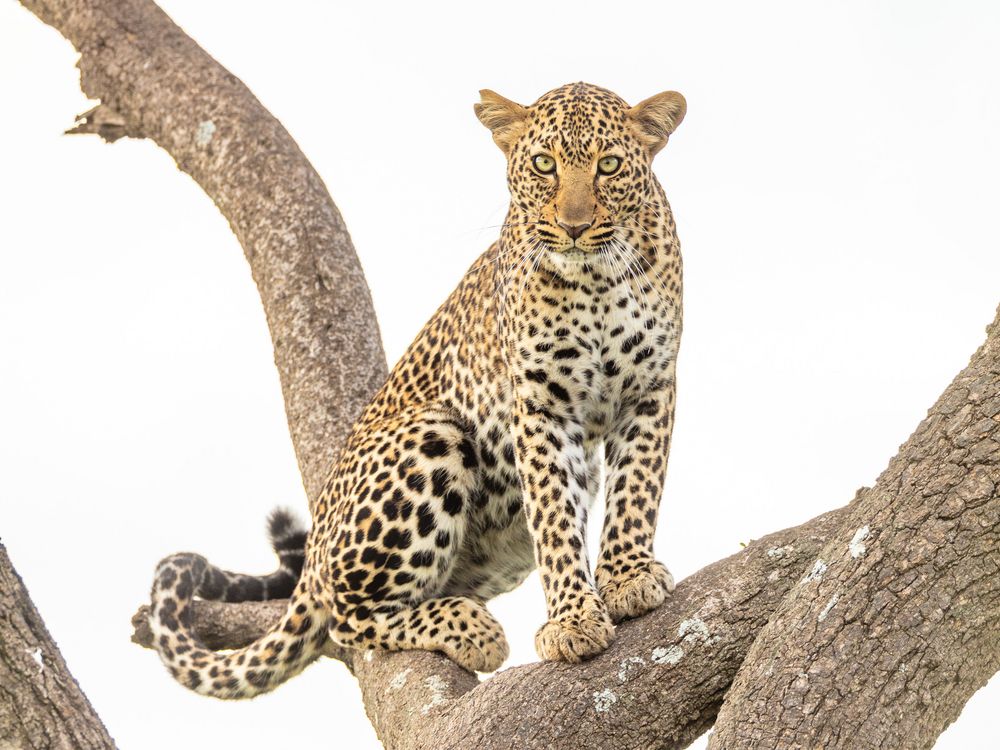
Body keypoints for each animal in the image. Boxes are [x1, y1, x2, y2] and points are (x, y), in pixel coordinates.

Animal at [148, 82, 684, 700]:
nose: (573, 227)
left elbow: (637, 489)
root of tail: (317, 543)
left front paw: (626, 577)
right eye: (543, 165)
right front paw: (572, 621)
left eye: (609, 166)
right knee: (348, 616)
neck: (595, 280)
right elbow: (554, 519)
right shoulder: (540, 407)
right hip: (434, 434)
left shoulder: (651, 387)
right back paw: (470, 628)